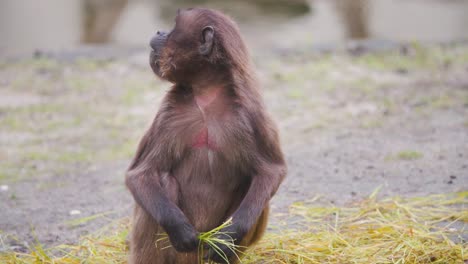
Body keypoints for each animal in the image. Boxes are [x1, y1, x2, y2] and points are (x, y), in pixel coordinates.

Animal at [125, 8, 286, 264]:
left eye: (173, 27)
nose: (159, 31)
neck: (206, 94)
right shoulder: (169, 113)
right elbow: (139, 174)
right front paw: (180, 229)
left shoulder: (250, 116)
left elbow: (270, 172)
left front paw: (227, 237)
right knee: (162, 180)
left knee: (249, 183)